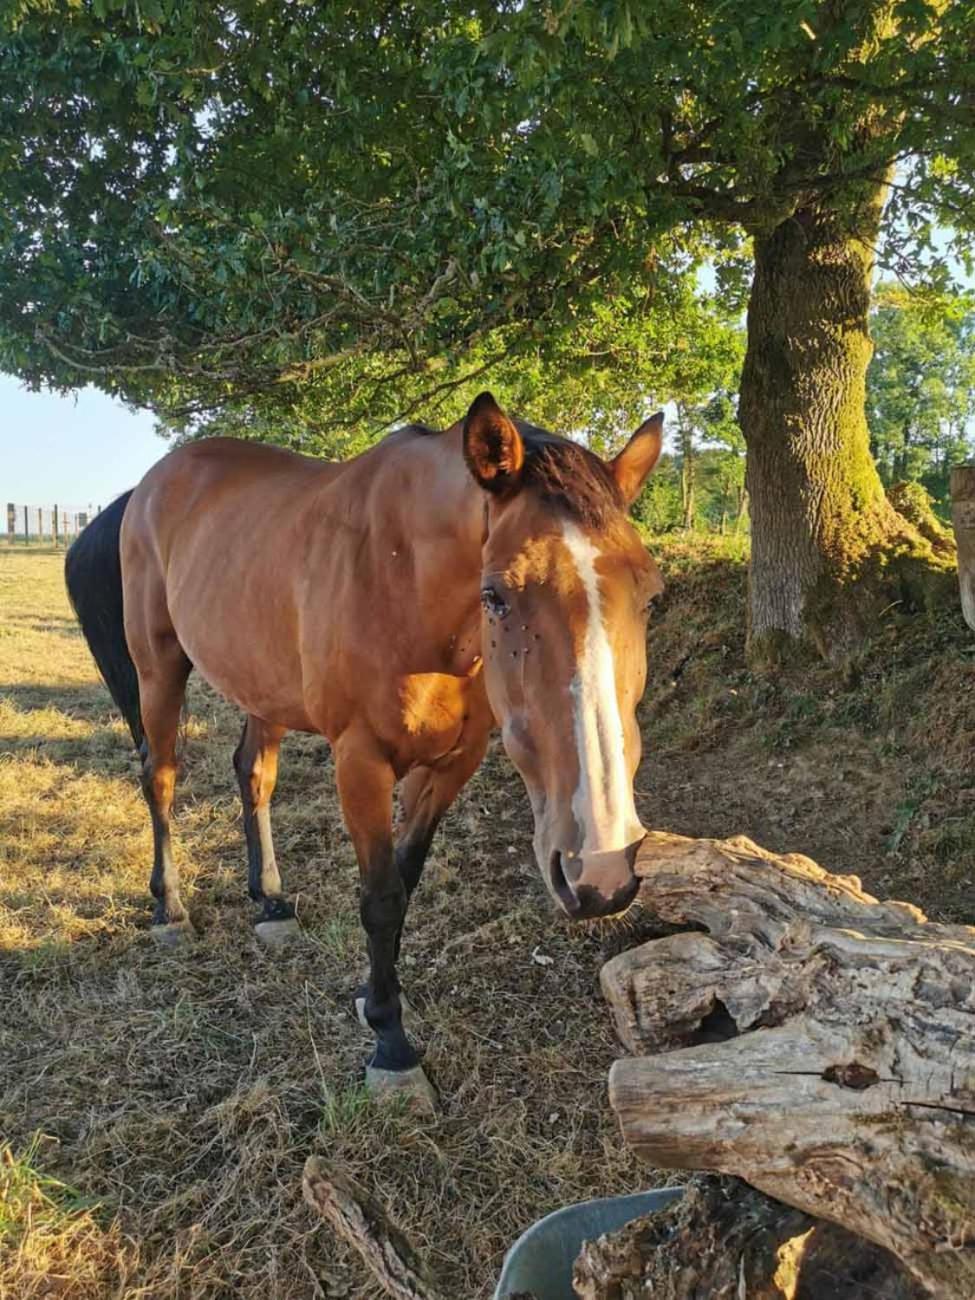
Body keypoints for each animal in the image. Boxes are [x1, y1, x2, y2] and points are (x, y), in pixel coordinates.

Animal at [66, 390, 665, 1102]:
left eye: (651, 596)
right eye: (495, 595)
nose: (600, 869)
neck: (403, 580)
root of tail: (146, 489)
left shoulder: (453, 763)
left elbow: (403, 879)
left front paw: (370, 998)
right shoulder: (360, 762)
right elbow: (380, 898)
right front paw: (391, 1044)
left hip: (260, 683)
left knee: (253, 774)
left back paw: (270, 902)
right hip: (157, 668)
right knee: (159, 776)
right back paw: (171, 912)